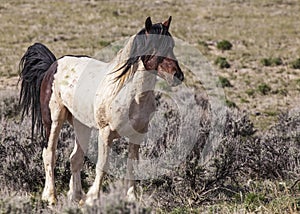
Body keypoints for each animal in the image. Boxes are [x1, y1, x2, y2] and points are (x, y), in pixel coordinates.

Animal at [18, 16, 184, 206]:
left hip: (82, 126)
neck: (131, 95)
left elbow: (132, 165)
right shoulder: (106, 133)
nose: (177, 76)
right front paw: (93, 198)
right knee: (49, 154)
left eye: (171, 46)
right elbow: (102, 165)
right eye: (154, 47)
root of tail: (53, 65)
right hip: (53, 121)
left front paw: (131, 198)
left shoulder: (137, 135)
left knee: (75, 158)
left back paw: (77, 197)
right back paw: (51, 197)